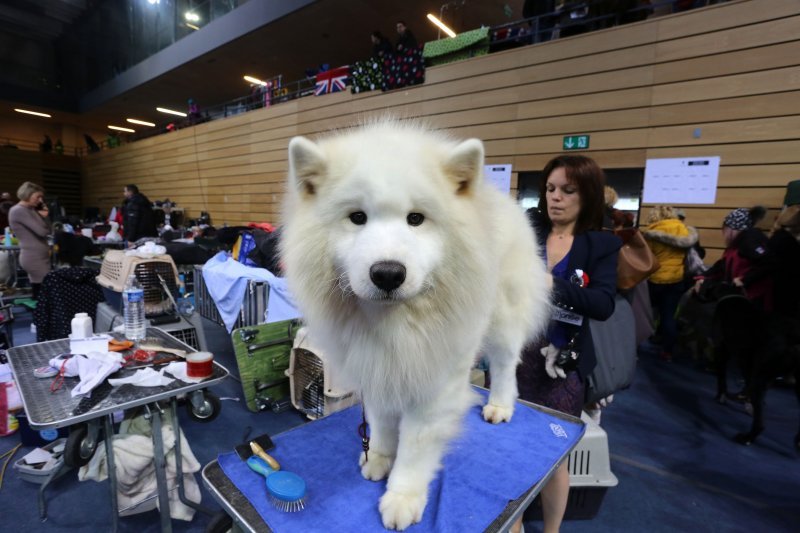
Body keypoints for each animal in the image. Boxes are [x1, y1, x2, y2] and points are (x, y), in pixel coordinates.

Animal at [280, 120, 552, 528]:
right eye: (357, 217)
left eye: (416, 219)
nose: (388, 273)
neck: (394, 323)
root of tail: (505, 202)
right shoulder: (379, 369)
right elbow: (381, 424)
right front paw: (379, 457)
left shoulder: (434, 384)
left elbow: (416, 446)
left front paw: (402, 497)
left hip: (503, 320)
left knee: (506, 367)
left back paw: (500, 407)